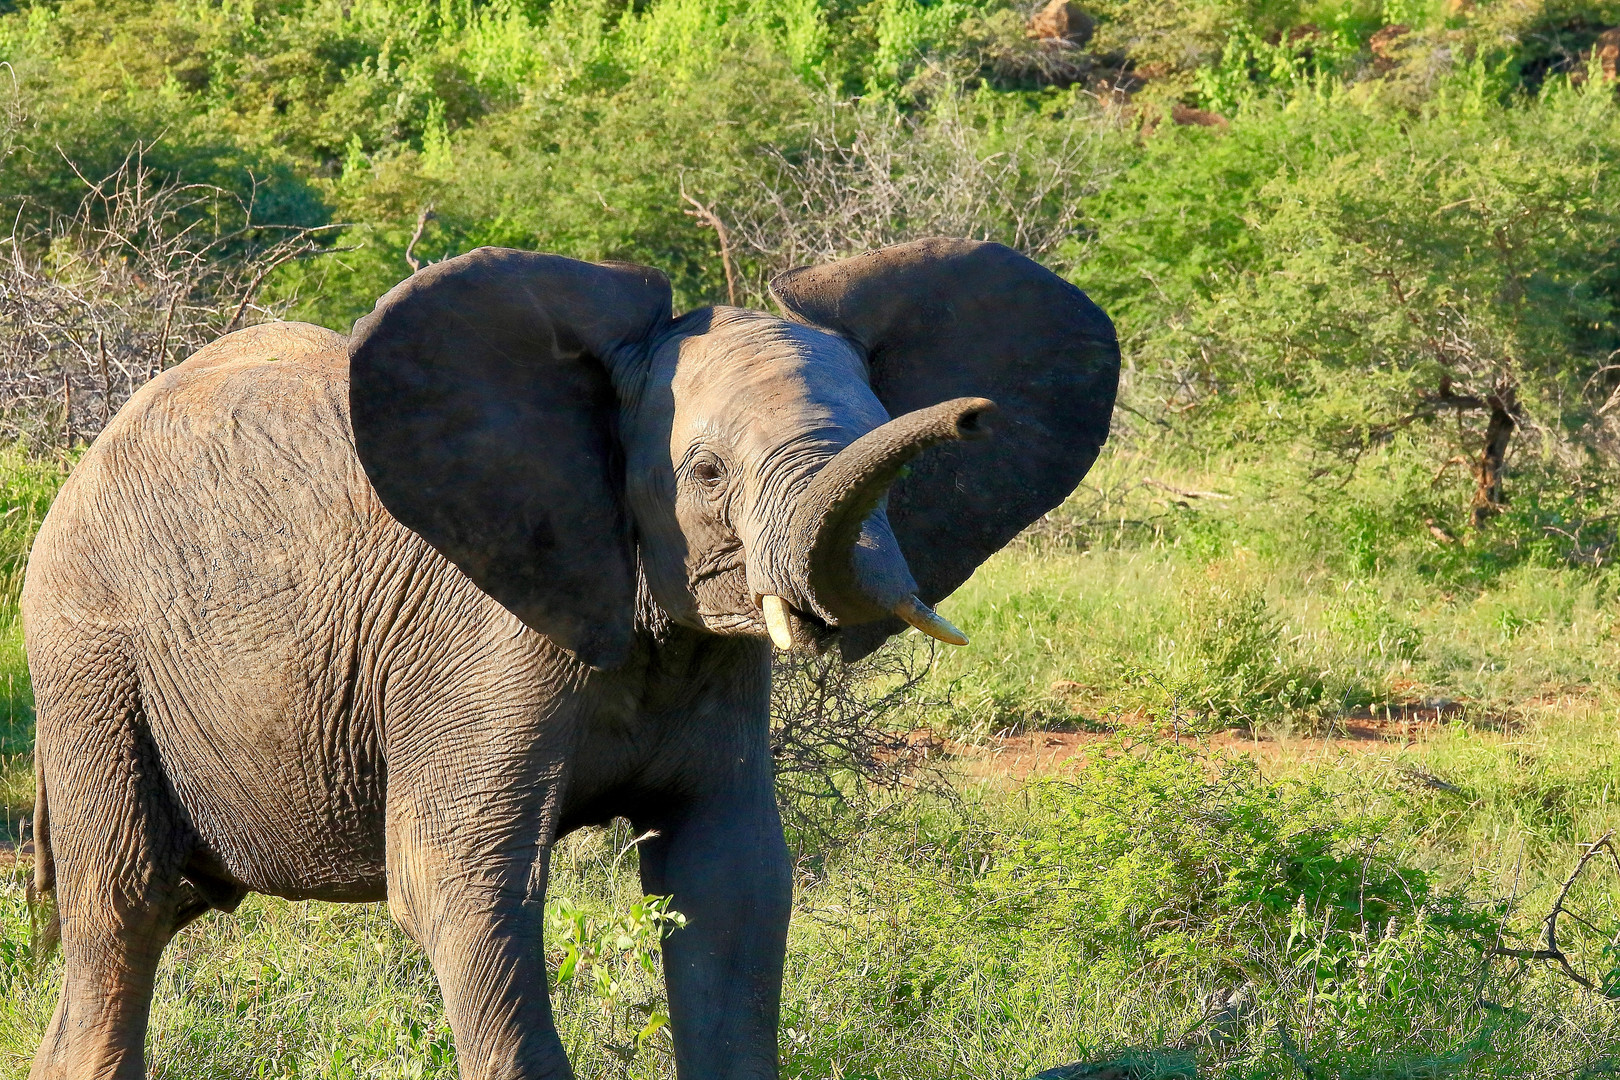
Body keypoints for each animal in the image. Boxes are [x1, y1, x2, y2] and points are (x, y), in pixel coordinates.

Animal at [22, 238, 1114, 1080]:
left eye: (892, 445)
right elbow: (460, 881)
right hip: (88, 659)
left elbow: (732, 878)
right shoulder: (477, 643)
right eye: (705, 472)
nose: (972, 412)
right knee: (124, 910)